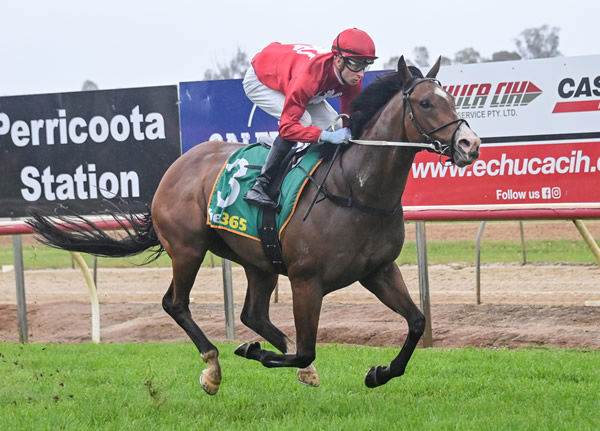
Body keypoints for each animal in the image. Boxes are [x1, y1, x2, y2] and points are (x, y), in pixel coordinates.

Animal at [28, 56, 480, 394]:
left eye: (451, 97)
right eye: (426, 103)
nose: (469, 145)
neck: (356, 188)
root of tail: (177, 166)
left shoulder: (378, 270)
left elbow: (417, 322)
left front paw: (379, 373)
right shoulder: (307, 281)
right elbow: (307, 349)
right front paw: (255, 353)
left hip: (259, 260)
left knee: (253, 314)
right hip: (188, 249)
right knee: (176, 304)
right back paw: (213, 367)